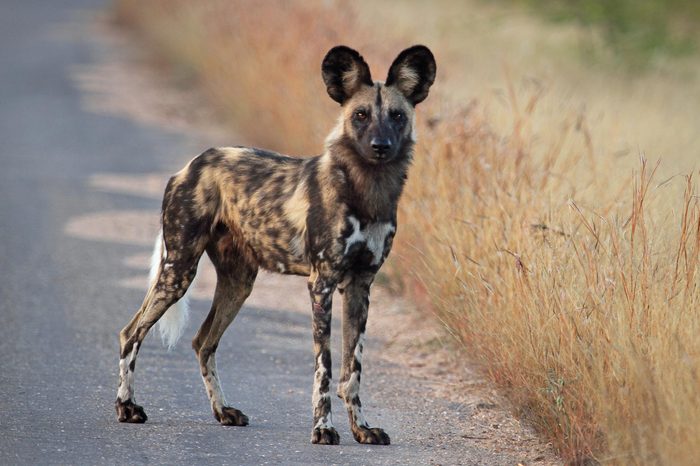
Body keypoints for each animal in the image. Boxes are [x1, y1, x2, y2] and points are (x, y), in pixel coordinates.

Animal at [115, 45, 434, 446]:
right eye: (361, 115)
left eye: (397, 116)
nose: (380, 146)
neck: (367, 190)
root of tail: (191, 165)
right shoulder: (321, 284)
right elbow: (325, 367)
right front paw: (323, 429)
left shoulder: (360, 287)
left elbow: (352, 371)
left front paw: (361, 429)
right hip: (179, 272)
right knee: (131, 333)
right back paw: (127, 407)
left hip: (238, 284)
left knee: (203, 341)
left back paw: (223, 411)